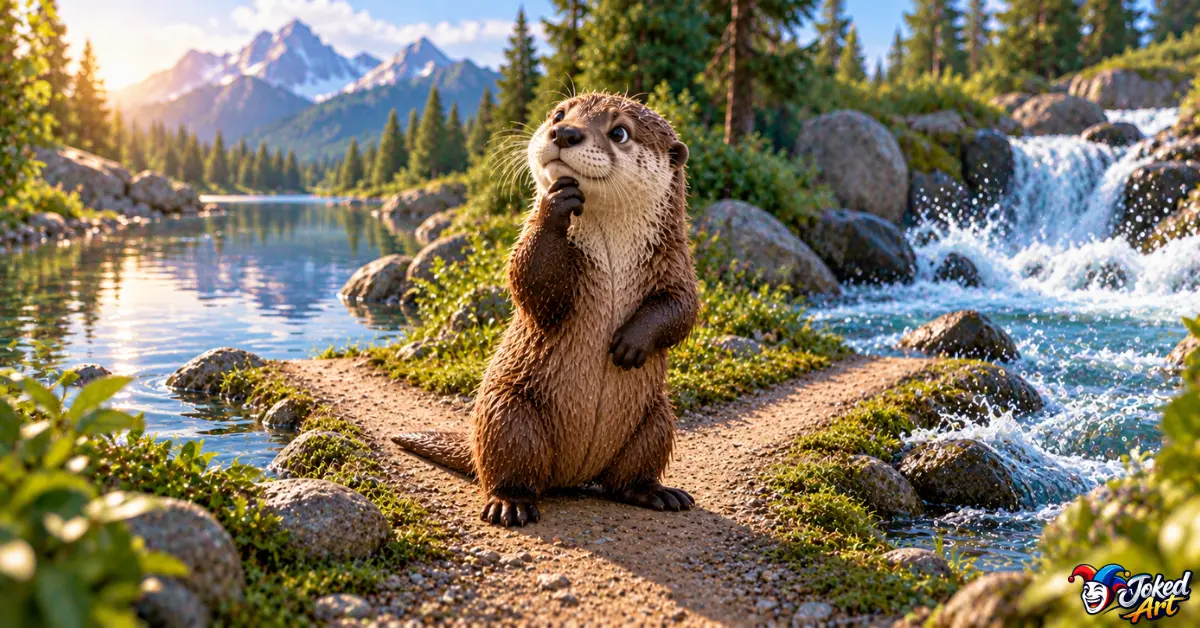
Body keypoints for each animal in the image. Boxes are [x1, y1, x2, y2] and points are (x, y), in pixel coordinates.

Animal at [392, 93, 699, 527]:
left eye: (620, 132)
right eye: (559, 113)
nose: (564, 132)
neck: (613, 253)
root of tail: (576, 474)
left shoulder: (675, 262)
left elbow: (682, 308)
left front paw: (630, 343)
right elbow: (530, 282)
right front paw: (556, 202)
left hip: (657, 417)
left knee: (628, 475)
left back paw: (655, 492)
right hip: (508, 412)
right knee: (511, 466)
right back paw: (511, 503)